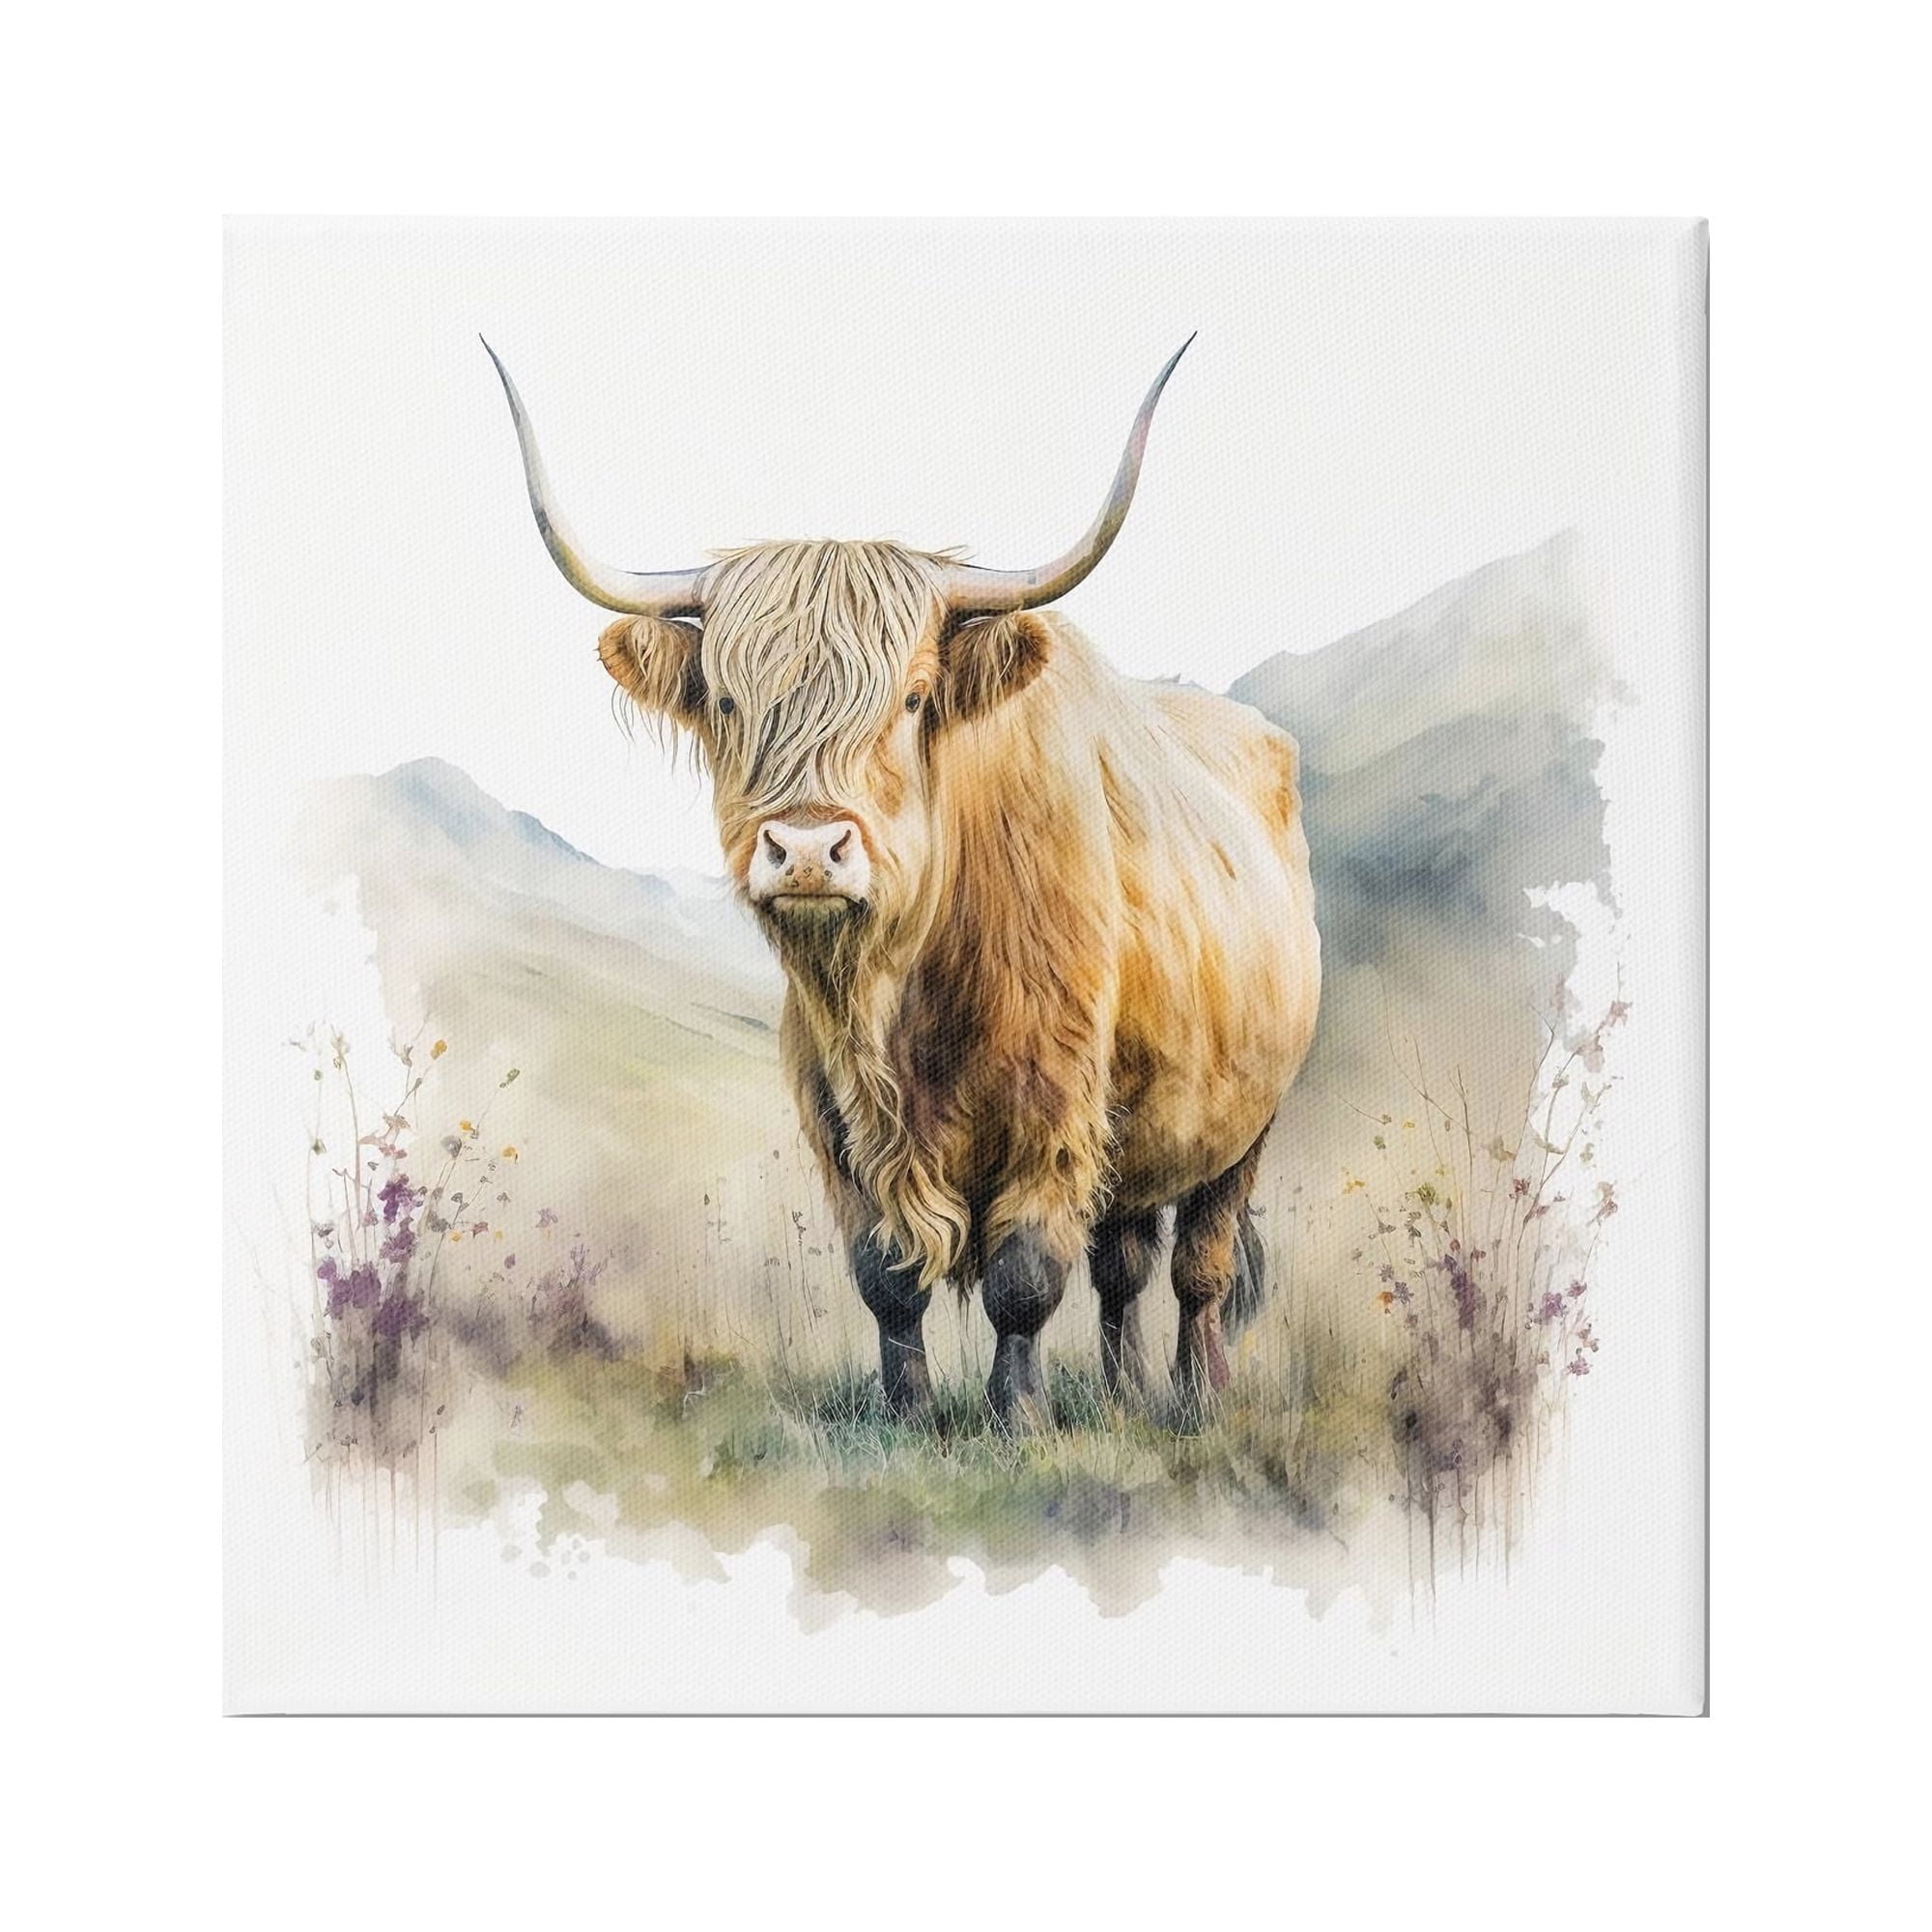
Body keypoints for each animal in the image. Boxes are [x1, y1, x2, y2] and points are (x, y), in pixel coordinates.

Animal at [485, 338, 1320, 1426]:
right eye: (726, 701)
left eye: (915, 696)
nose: (805, 850)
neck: (900, 994)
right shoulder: (836, 1121)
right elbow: (885, 1276)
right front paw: (913, 1411)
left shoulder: (1054, 1107)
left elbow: (1022, 1276)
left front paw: (1017, 1418)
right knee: (1125, 1263)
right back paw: (1120, 1392)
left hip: (1246, 1120)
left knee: (1199, 1267)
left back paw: (1192, 1397)